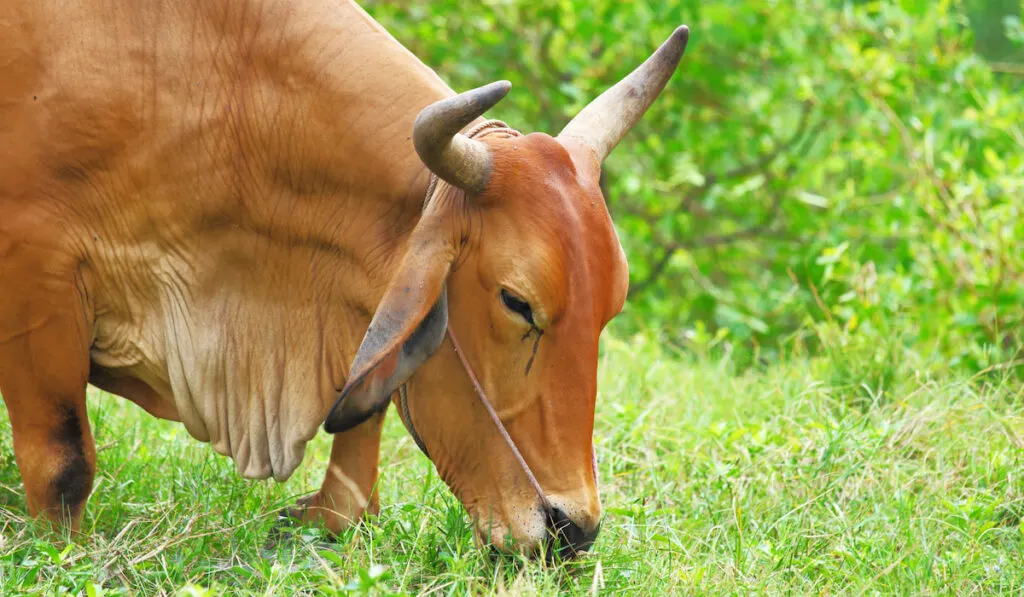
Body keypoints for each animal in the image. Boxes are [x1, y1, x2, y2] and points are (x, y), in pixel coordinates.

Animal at [0, 0, 688, 561]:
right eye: (517, 302)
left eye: (610, 307)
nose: (574, 531)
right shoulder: (34, 274)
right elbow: (64, 467)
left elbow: (355, 480)